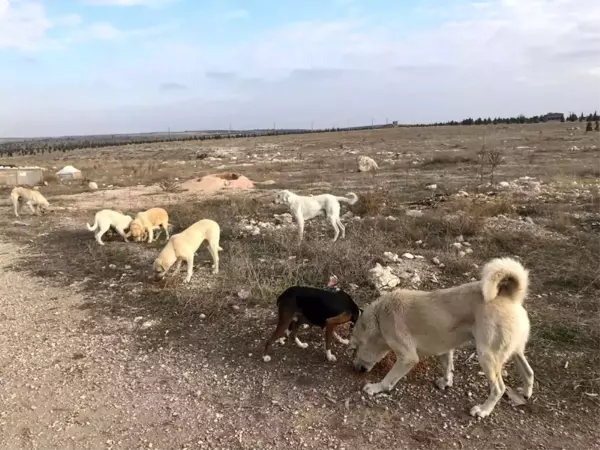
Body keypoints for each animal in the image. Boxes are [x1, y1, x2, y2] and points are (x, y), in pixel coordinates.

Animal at [346, 258, 536, 420]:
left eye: (355, 349)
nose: (355, 368)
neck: (379, 317)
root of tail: (509, 297)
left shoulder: (407, 357)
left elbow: (389, 379)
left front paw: (376, 387)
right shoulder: (445, 348)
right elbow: (447, 367)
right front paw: (446, 382)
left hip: (487, 356)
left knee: (499, 388)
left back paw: (483, 410)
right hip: (515, 352)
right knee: (528, 372)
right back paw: (525, 392)